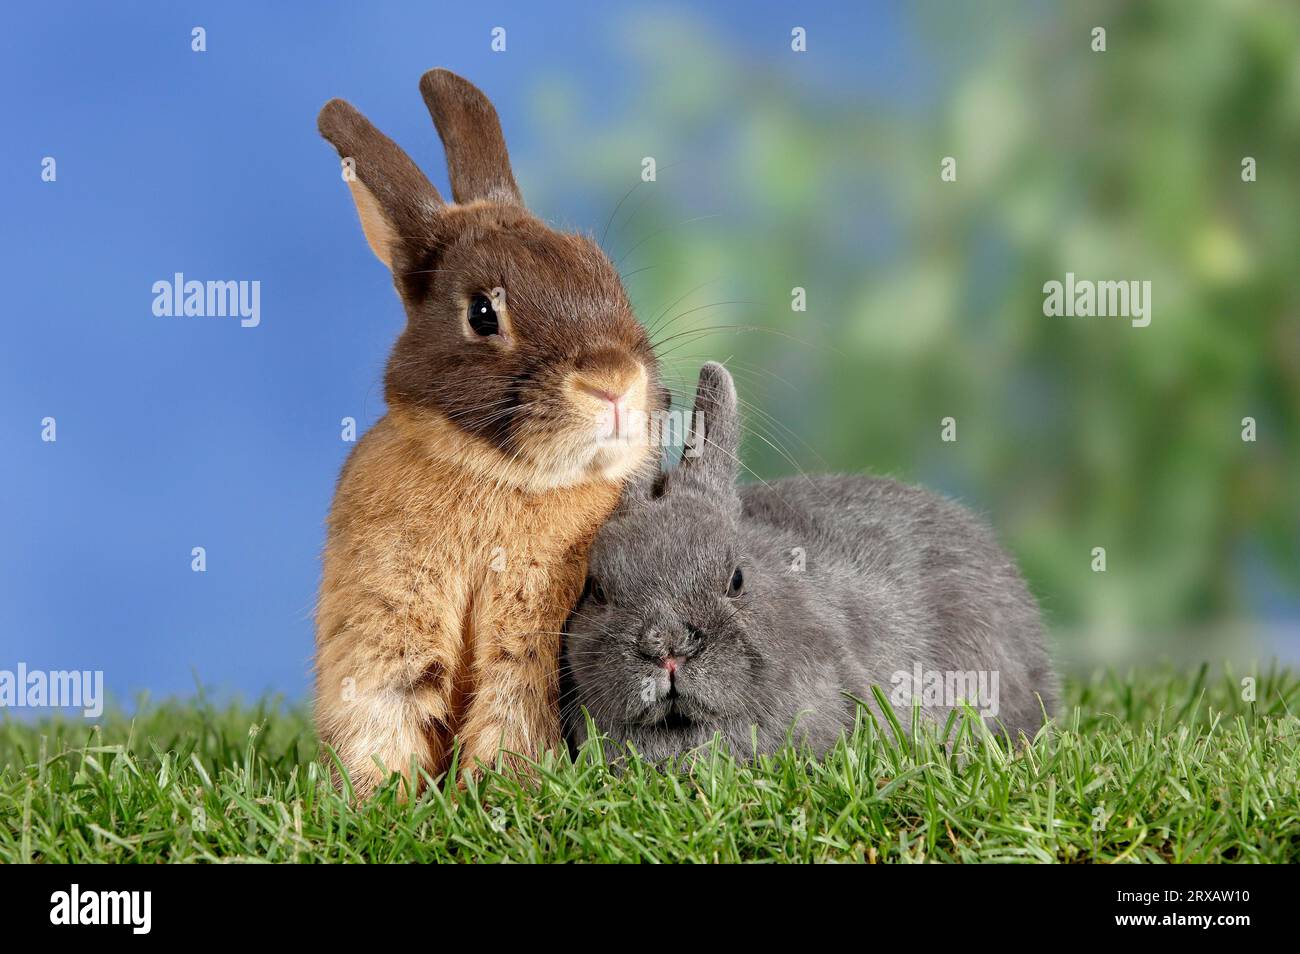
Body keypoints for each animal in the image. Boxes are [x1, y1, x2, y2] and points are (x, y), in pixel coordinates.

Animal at [313, 69, 666, 797]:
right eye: (482, 313)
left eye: (604, 273)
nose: (614, 382)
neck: (496, 473)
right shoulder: (385, 620)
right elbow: (389, 707)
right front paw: (371, 799)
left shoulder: (537, 636)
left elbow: (512, 708)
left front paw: (504, 792)